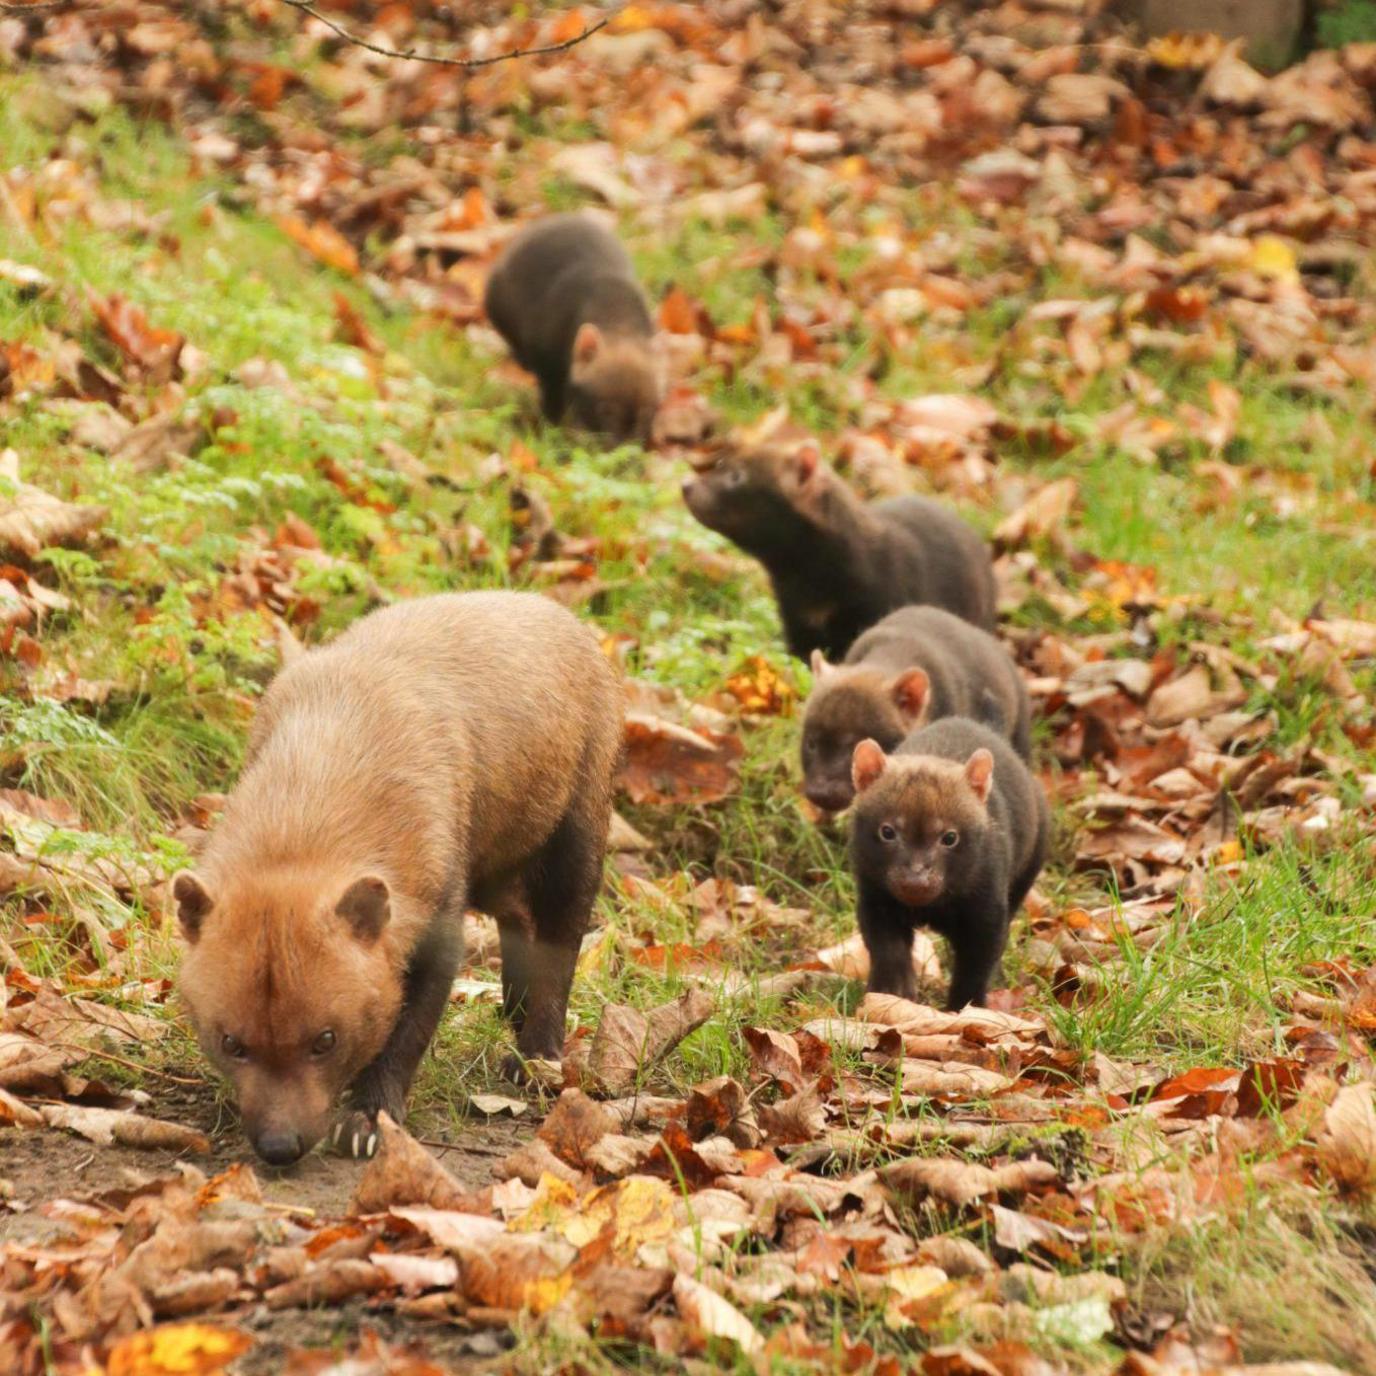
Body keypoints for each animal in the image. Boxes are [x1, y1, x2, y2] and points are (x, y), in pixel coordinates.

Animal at [174, 591, 621, 1161]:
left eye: (326, 1039)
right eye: (230, 1041)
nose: (280, 1145)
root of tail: (568, 618)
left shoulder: (438, 918)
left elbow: (406, 1030)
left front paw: (366, 1120)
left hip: (579, 828)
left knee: (561, 937)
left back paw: (535, 1054)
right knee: (519, 918)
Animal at [842, 721, 1045, 1012]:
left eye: (950, 837)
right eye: (887, 831)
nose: (915, 882)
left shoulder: (986, 913)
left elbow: (976, 968)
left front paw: (963, 1009)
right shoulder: (875, 900)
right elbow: (887, 948)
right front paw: (892, 991)